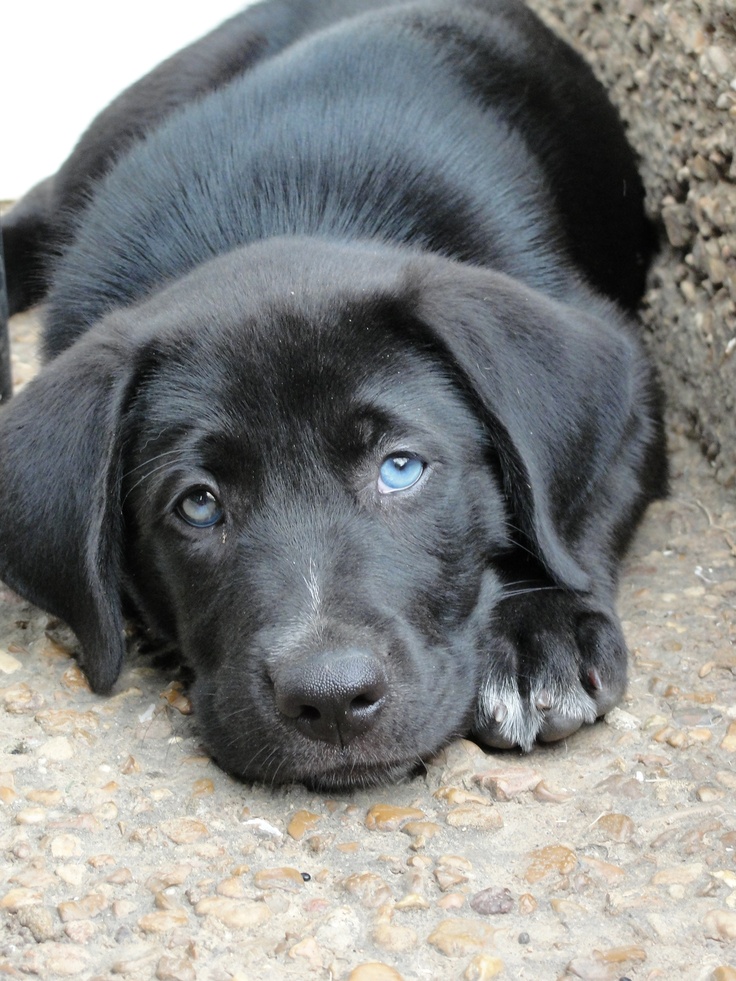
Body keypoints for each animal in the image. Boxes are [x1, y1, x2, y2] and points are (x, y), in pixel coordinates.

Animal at [1, 0, 668, 788]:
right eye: (198, 503)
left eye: (401, 467)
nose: (330, 698)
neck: (285, 207)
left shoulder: (628, 374)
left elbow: (572, 513)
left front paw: (543, 628)